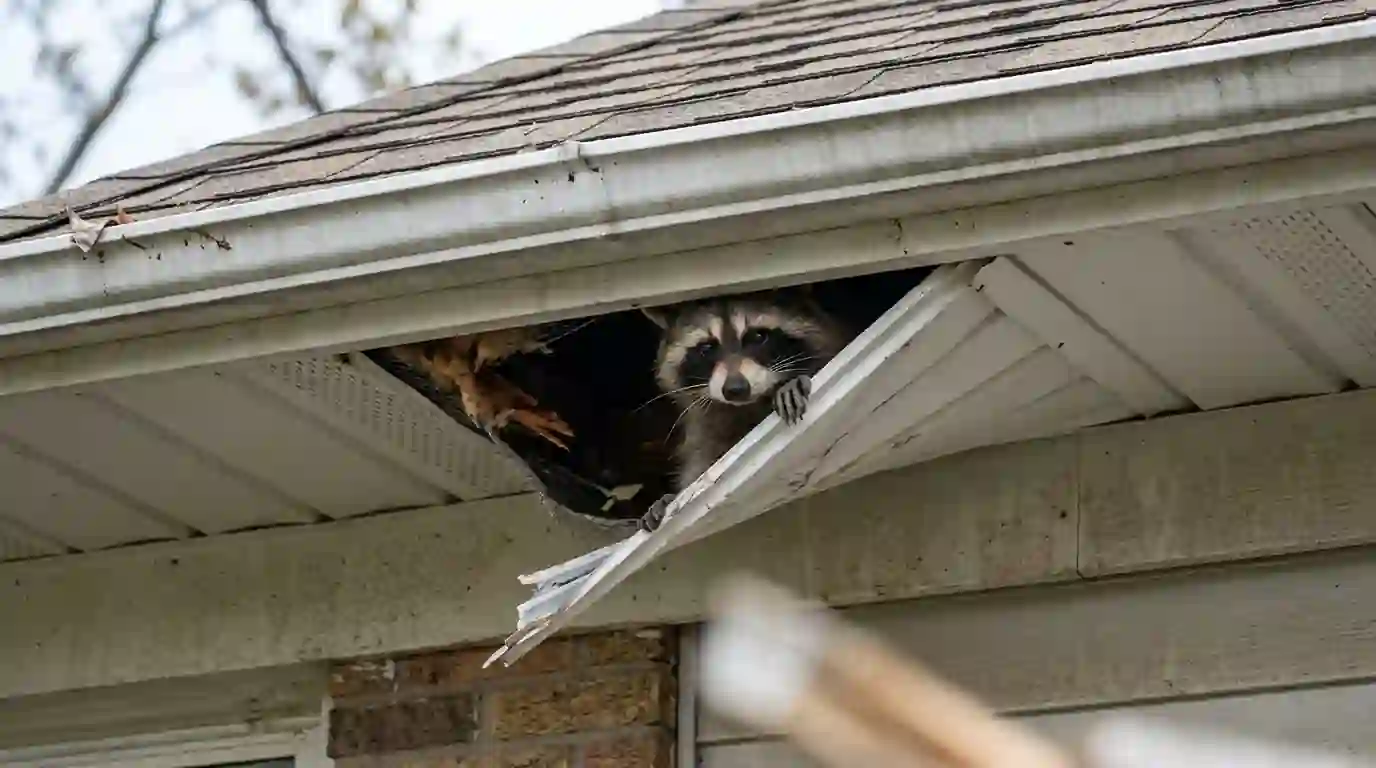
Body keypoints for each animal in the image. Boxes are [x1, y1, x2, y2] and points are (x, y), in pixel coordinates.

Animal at [637, 288, 854, 532]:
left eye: (758, 337)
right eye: (706, 348)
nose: (736, 389)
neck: (751, 405)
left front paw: (789, 384)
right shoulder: (709, 427)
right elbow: (703, 460)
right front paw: (670, 497)